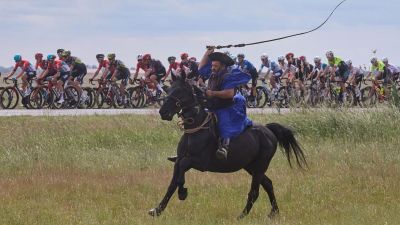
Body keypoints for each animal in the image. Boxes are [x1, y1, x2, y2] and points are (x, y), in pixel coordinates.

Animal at [150, 78, 306, 219]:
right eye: (169, 90)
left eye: (180, 91)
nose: (163, 112)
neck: (196, 130)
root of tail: (269, 131)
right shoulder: (178, 161)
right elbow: (172, 183)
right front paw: (157, 209)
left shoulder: (199, 162)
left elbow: (181, 170)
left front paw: (182, 192)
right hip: (251, 167)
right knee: (268, 184)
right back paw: (274, 212)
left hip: (260, 166)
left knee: (255, 191)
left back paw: (242, 216)